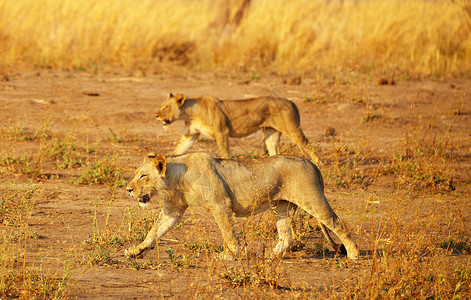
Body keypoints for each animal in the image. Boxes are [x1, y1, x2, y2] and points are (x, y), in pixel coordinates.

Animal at [123, 152, 360, 260]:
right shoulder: (172, 210)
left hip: (312, 199)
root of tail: (311, 163)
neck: (175, 180)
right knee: (287, 235)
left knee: (338, 223)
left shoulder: (221, 205)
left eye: (143, 175)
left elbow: (228, 233)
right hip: (281, 207)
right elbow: (154, 232)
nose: (128, 189)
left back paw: (354, 254)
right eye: (137, 174)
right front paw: (136, 250)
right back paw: (270, 256)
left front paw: (230, 255)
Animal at [156, 94, 320, 163]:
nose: (156, 115)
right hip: (270, 133)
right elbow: (179, 149)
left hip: (292, 129)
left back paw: (318, 164)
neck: (190, 113)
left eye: (166, 107)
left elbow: (224, 153)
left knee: (309, 146)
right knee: (274, 150)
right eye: (162, 106)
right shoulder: (190, 135)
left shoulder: (222, 132)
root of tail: (291, 101)